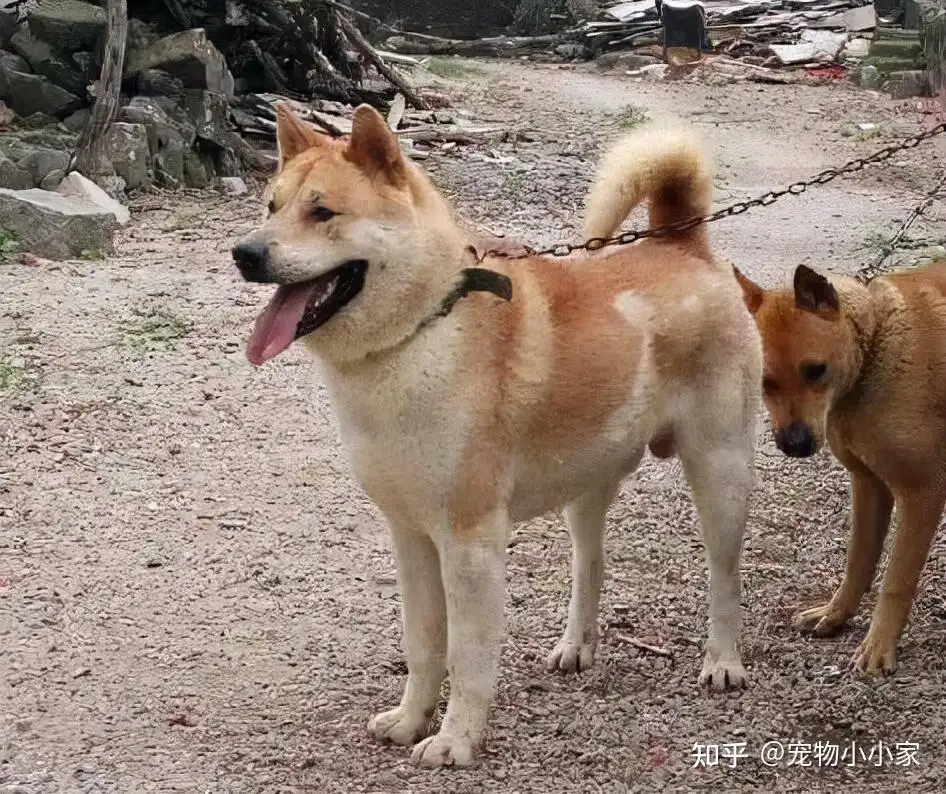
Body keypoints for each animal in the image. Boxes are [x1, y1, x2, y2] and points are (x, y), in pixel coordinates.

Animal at [232, 105, 764, 768]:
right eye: (271, 206)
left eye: (322, 212)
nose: (244, 253)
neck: (419, 333)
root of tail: (682, 244)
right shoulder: (410, 538)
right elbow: (423, 643)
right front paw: (410, 720)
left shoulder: (469, 544)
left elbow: (467, 657)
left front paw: (455, 740)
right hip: (587, 487)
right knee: (590, 565)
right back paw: (576, 645)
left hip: (719, 474)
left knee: (725, 577)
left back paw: (723, 662)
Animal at [732, 262, 944, 672]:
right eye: (765, 381)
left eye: (816, 370)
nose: (793, 444)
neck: (876, 345)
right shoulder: (869, 486)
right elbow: (858, 562)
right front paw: (836, 615)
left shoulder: (920, 496)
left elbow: (896, 580)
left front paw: (878, 644)